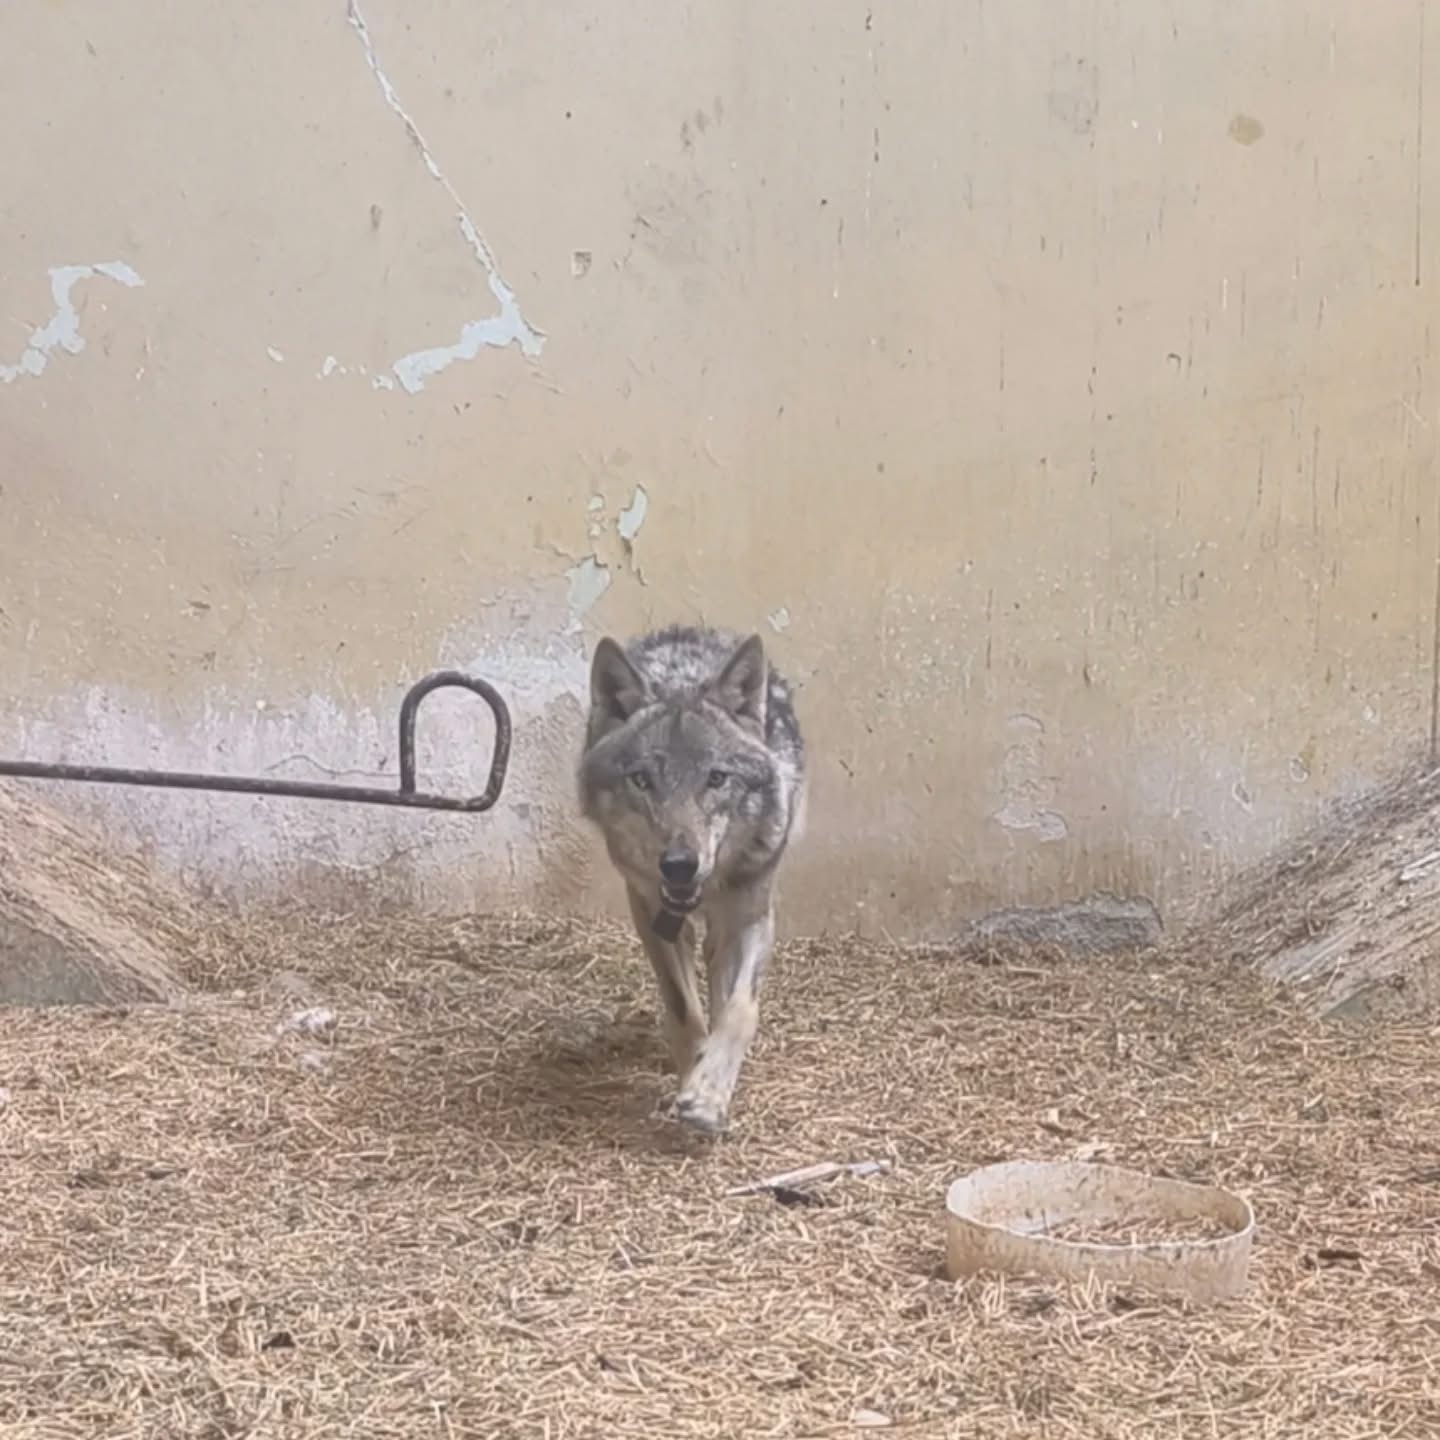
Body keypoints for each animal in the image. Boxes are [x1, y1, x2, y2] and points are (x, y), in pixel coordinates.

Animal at [577, 623, 807, 1136]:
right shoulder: (650, 912)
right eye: (642, 780)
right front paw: (693, 1071)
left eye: (716, 778)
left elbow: (740, 1011)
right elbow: (684, 1012)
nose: (679, 864)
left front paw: (708, 1095)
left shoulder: (753, 915)